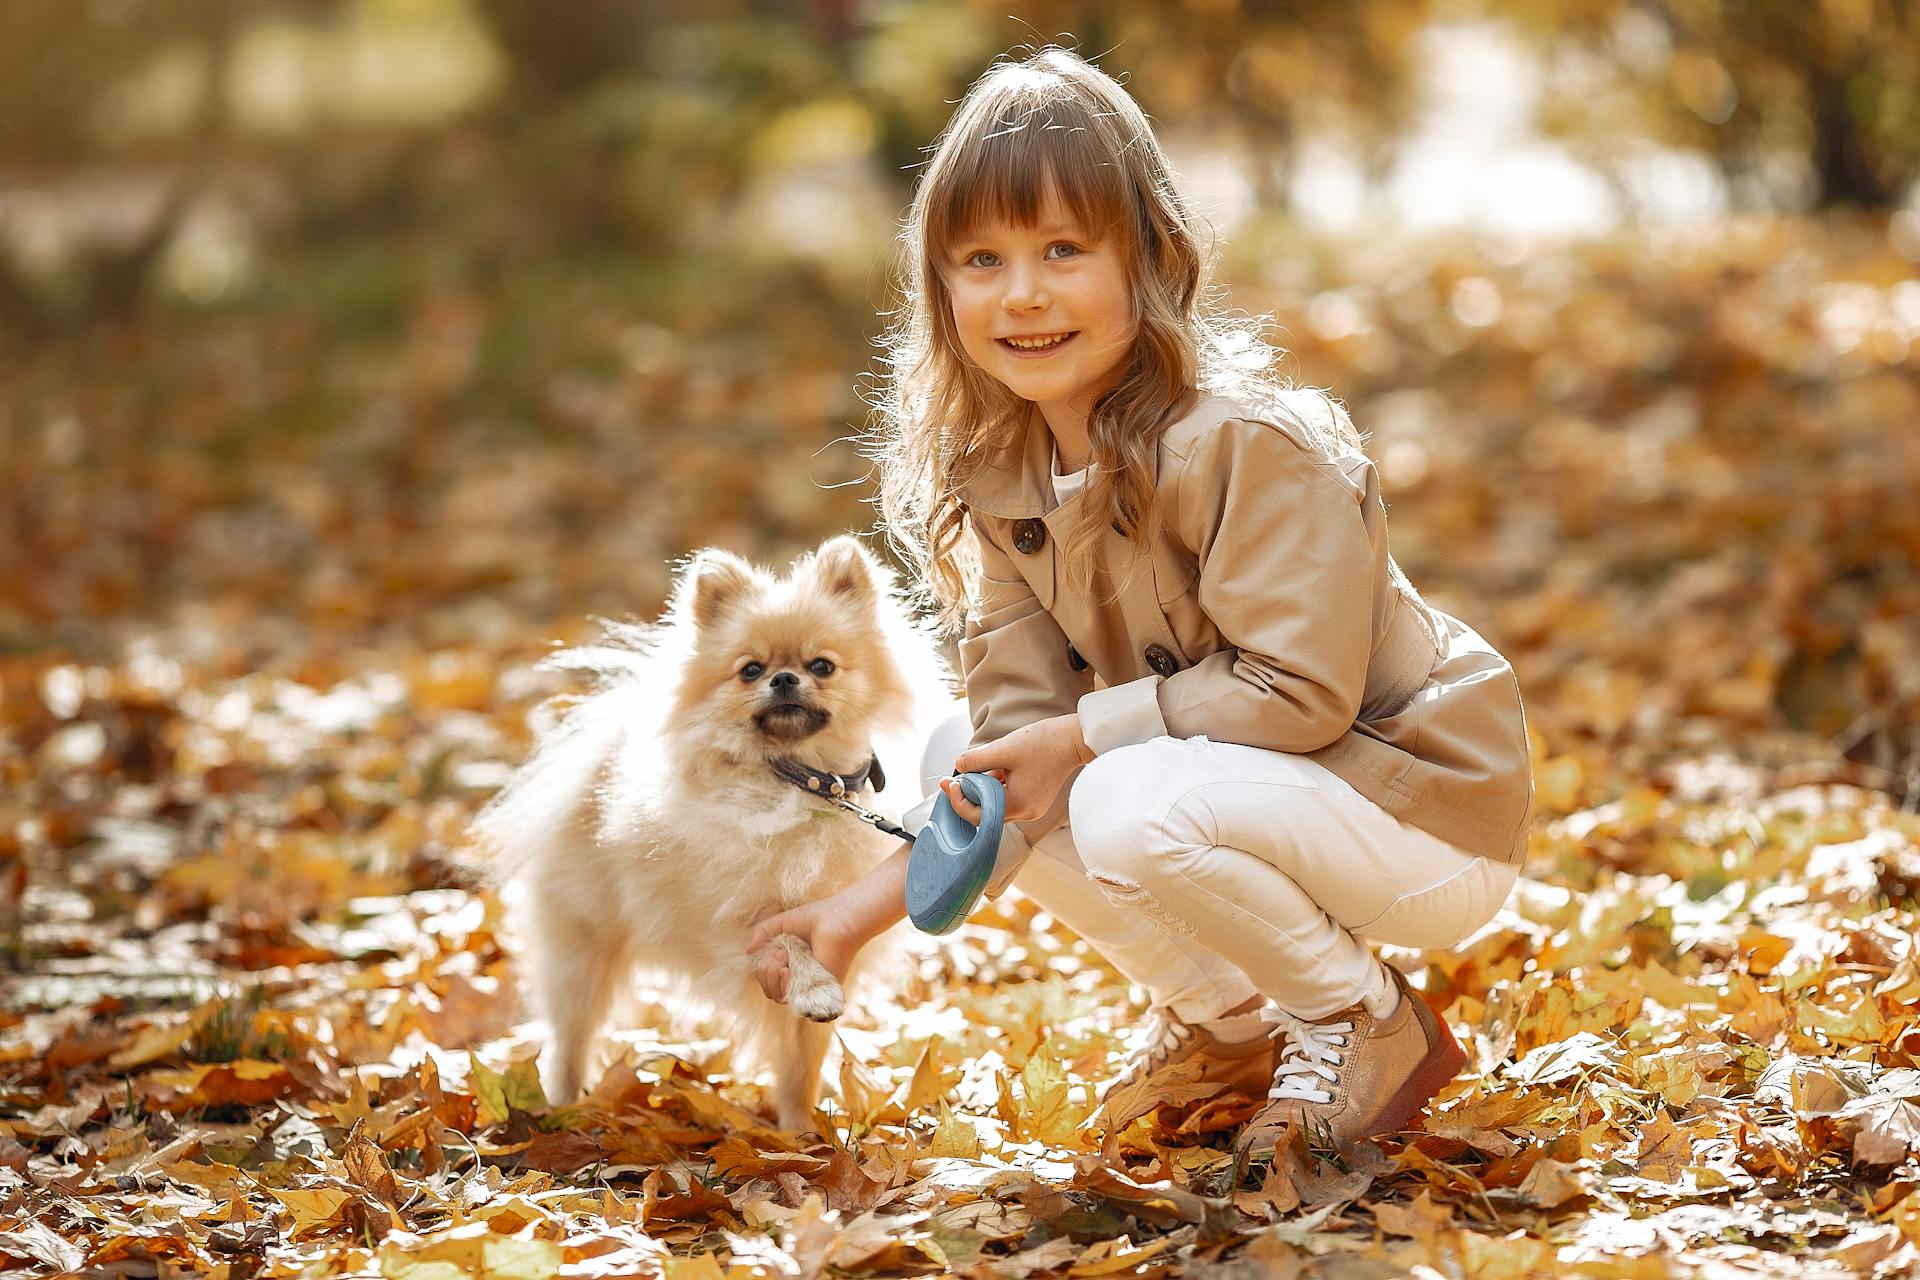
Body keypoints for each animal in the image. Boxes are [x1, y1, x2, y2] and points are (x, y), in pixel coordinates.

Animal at [474, 537, 952, 1128]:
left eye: (822, 665)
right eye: (750, 670)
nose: (784, 678)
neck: (806, 786)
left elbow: (802, 1063)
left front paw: (801, 1130)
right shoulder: (746, 917)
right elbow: (793, 943)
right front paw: (815, 989)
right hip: (580, 948)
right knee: (570, 1037)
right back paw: (563, 1107)